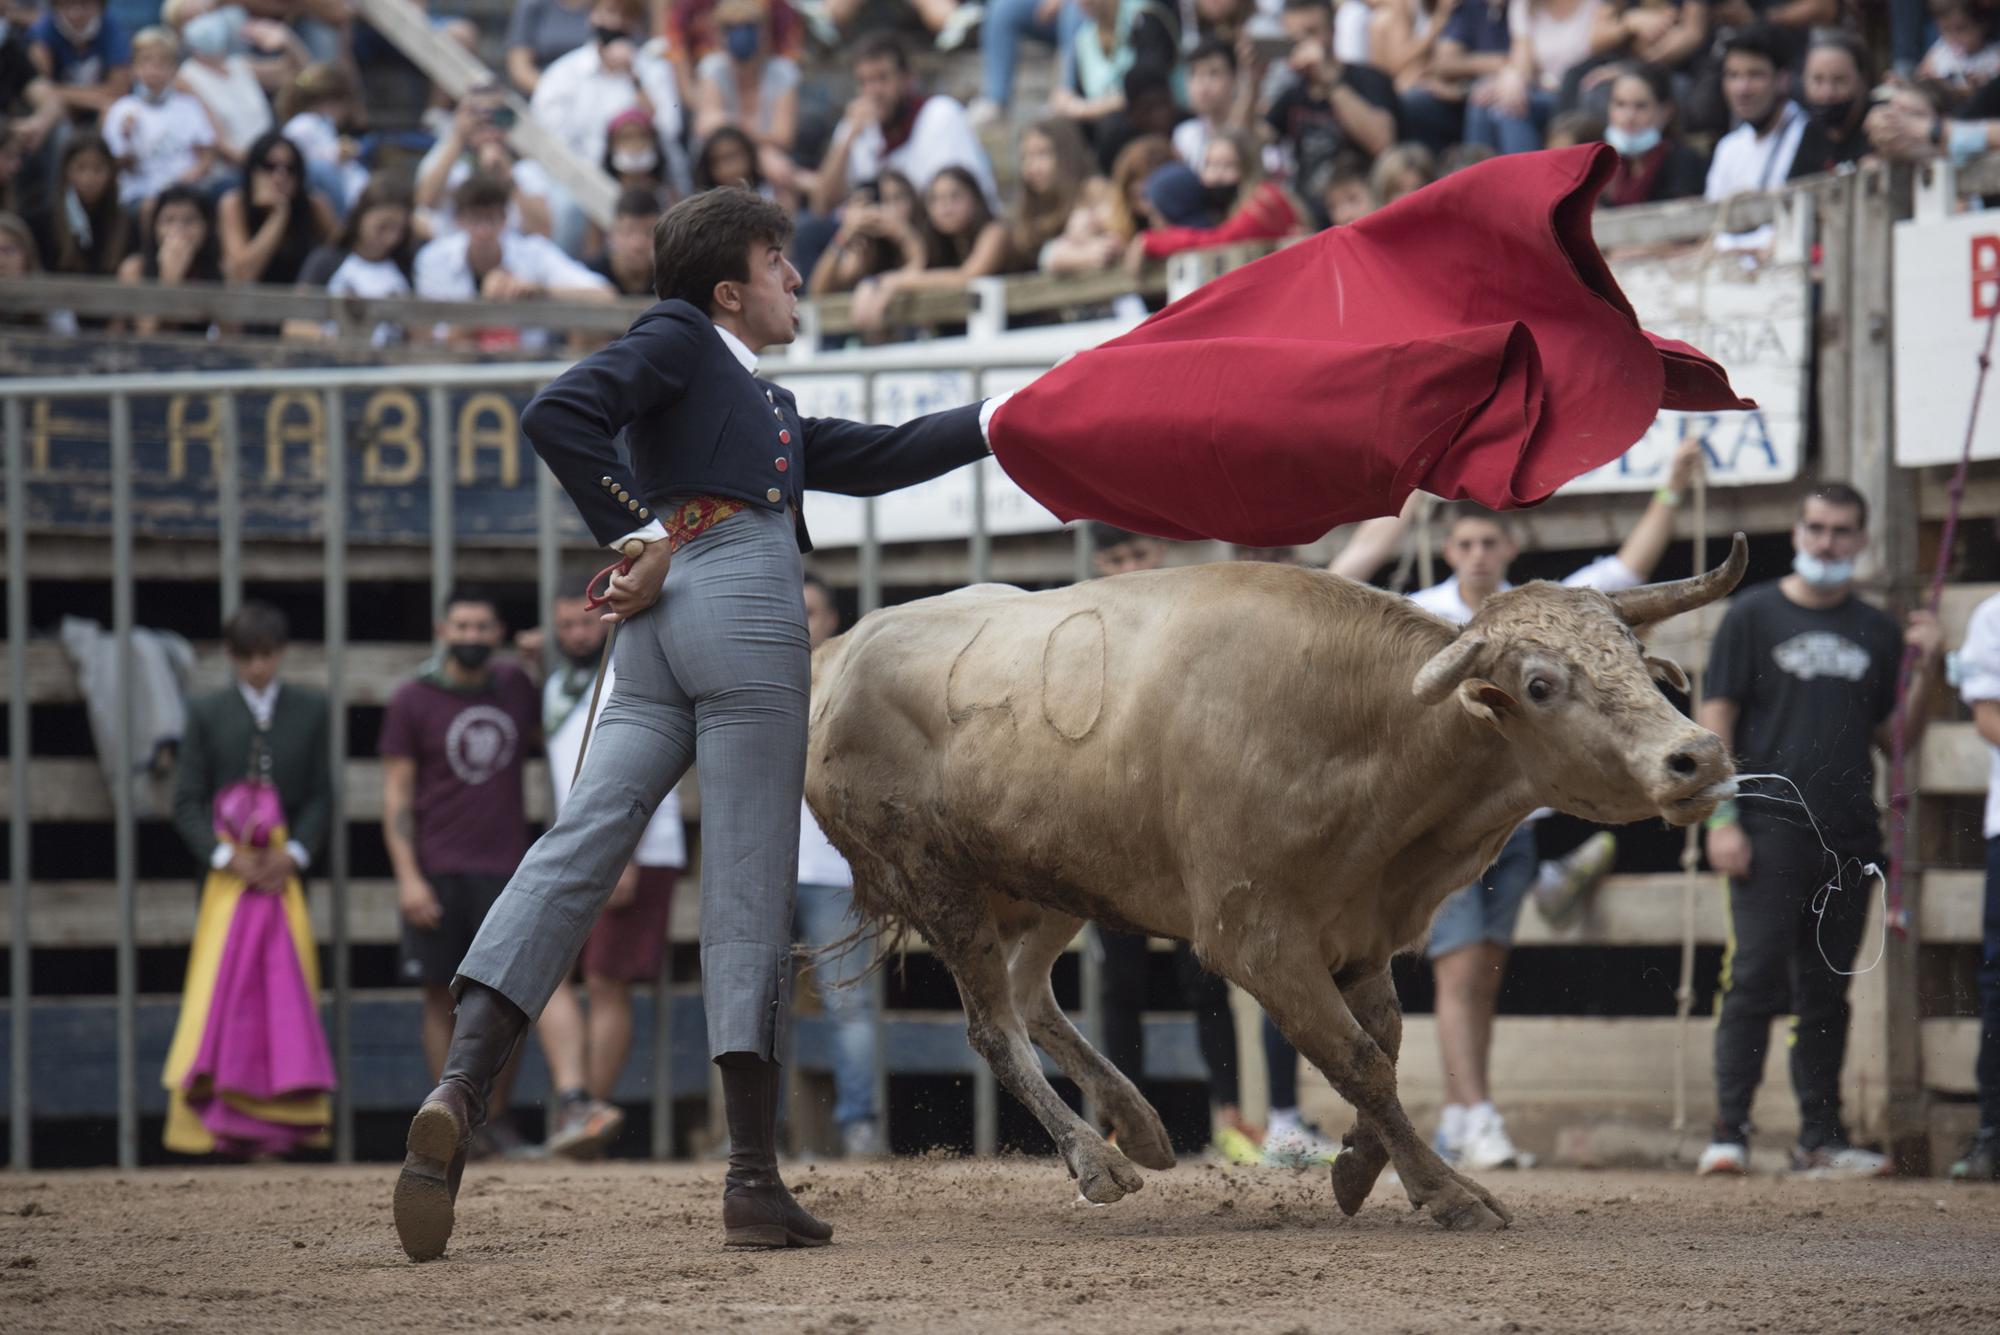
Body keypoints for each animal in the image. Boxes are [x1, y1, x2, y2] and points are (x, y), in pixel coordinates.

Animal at [804, 531, 1744, 1231]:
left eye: (1635, 656)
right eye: (1541, 683)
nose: (1697, 755)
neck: (1362, 730)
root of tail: (839, 656)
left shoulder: (1361, 934)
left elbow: (1382, 1048)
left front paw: (1362, 1166)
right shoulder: (1256, 941)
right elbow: (1359, 1060)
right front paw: (1445, 1191)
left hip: (1054, 881)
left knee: (1030, 994)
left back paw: (1138, 1123)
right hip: (937, 881)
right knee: (993, 1024)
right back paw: (1094, 1158)